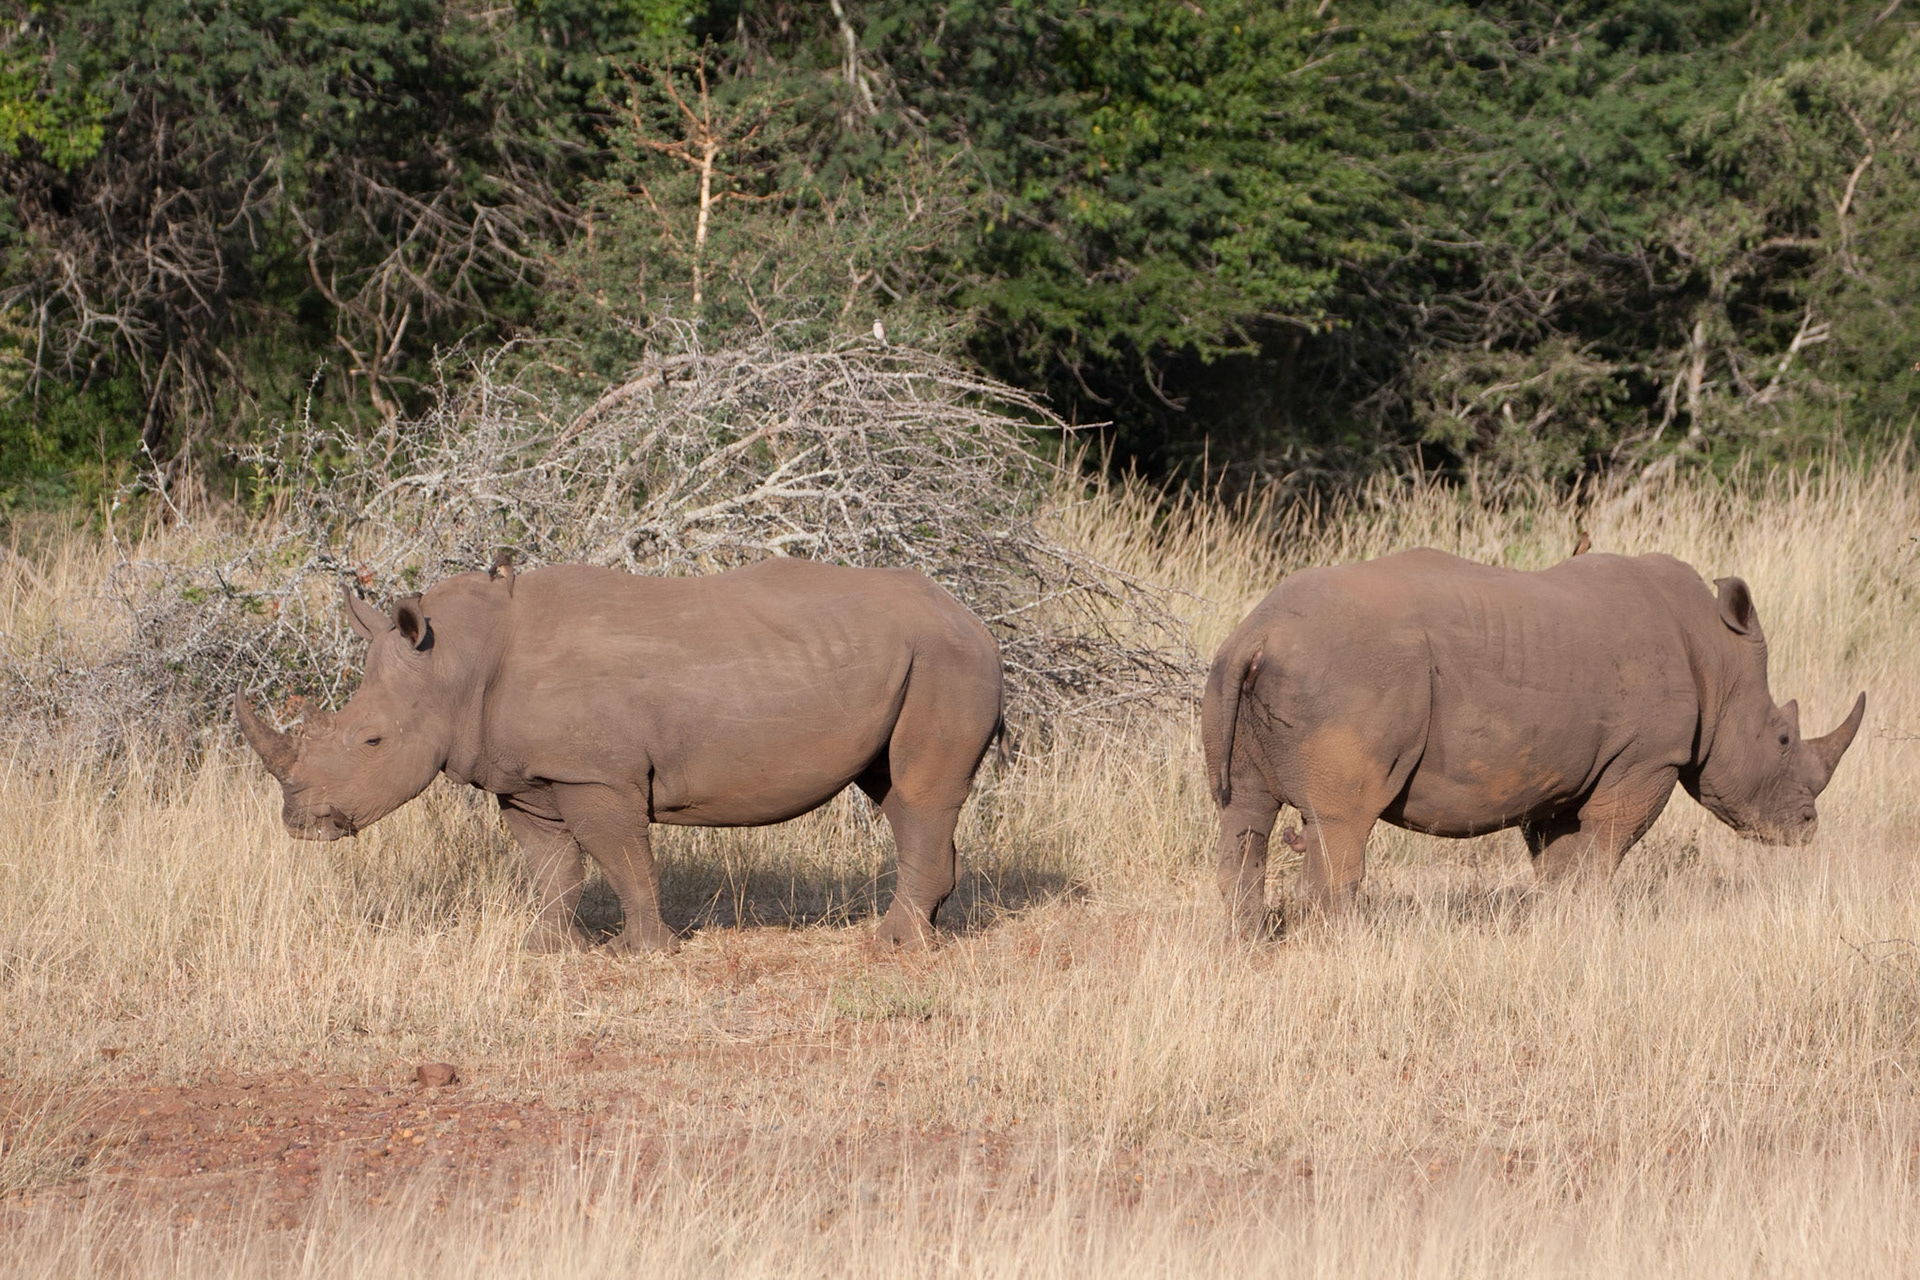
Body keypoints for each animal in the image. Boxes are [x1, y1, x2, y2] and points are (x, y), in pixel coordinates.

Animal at [237, 559, 1005, 952]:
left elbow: (623, 858)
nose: (299, 825)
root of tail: (974, 617)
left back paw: (892, 945)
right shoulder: (526, 778)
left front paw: (644, 952)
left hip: (946, 660)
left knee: (919, 794)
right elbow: (552, 867)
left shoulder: (595, 775)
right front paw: (548, 949)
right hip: (921, 660)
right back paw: (930, 931)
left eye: (372, 741)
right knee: (899, 794)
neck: (455, 661)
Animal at [1202, 549, 1866, 934]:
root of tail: (1259, 631)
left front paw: (1560, 924)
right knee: (1341, 821)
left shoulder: (1560, 765)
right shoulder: (1648, 758)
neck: (1717, 658)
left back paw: (1245, 942)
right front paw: (1591, 926)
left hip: (1243, 669)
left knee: (1245, 813)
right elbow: (1606, 844)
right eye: (1782, 738)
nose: (1807, 826)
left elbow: (1561, 856)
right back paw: (1346, 947)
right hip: (1349, 674)